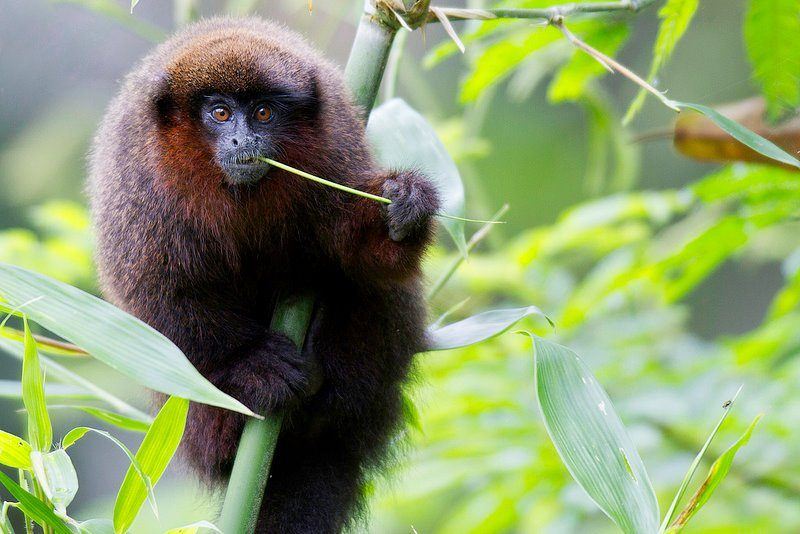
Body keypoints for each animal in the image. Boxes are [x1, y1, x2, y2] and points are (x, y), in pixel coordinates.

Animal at [88, 17, 439, 533]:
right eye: (219, 113)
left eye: (263, 113)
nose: (243, 141)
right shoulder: (139, 183)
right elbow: (160, 294)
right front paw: (253, 365)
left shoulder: (335, 148)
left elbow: (359, 256)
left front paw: (401, 209)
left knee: (376, 299)